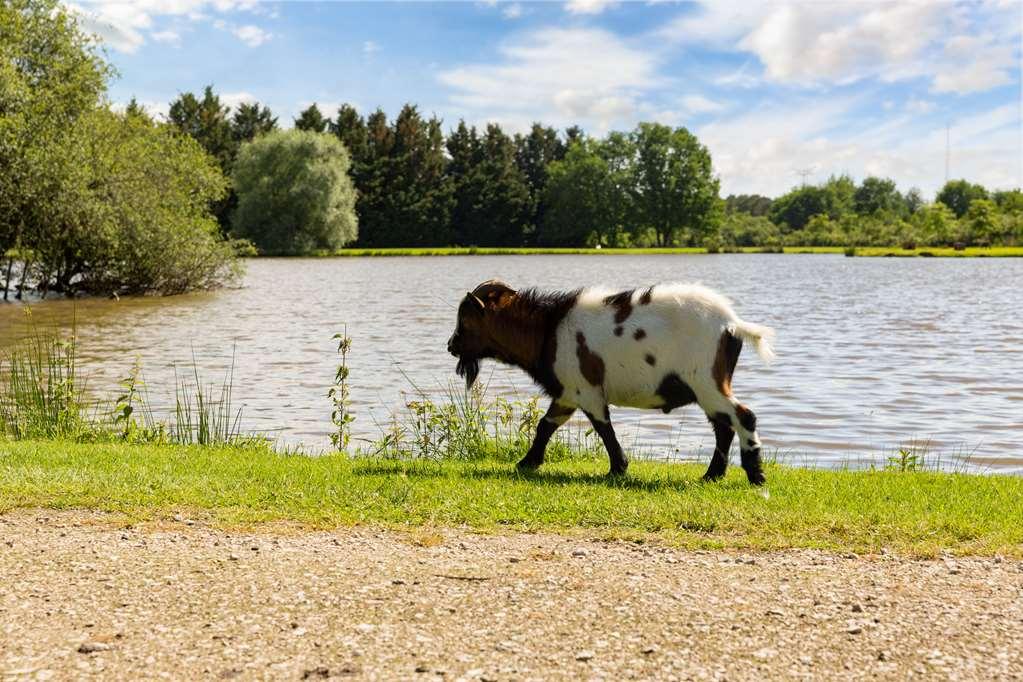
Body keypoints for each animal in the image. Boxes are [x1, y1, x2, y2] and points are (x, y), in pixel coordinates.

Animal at [448, 282, 773, 484]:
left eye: (465, 321)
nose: (451, 346)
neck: (548, 330)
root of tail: (733, 325)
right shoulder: (568, 393)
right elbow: (546, 425)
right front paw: (527, 463)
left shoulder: (587, 391)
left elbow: (604, 428)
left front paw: (618, 469)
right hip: (707, 387)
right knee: (723, 426)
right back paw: (712, 475)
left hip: (706, 381)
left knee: (743, 416)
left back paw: (755, 475)